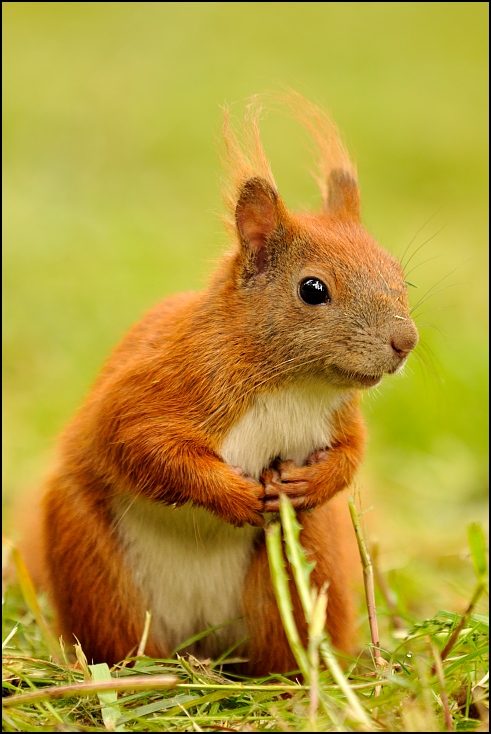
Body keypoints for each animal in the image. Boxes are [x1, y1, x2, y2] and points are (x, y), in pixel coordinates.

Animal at [29, 93, 418, 680]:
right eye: (312, 289)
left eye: (397, 272)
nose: (405, 341)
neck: (292, 386)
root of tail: (205, 644)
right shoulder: (167, 383)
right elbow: (143, 444)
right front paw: (232, 495)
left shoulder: (338, 416)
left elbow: (353, 450)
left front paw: (316, 481)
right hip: (96, 569)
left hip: (303, 563)